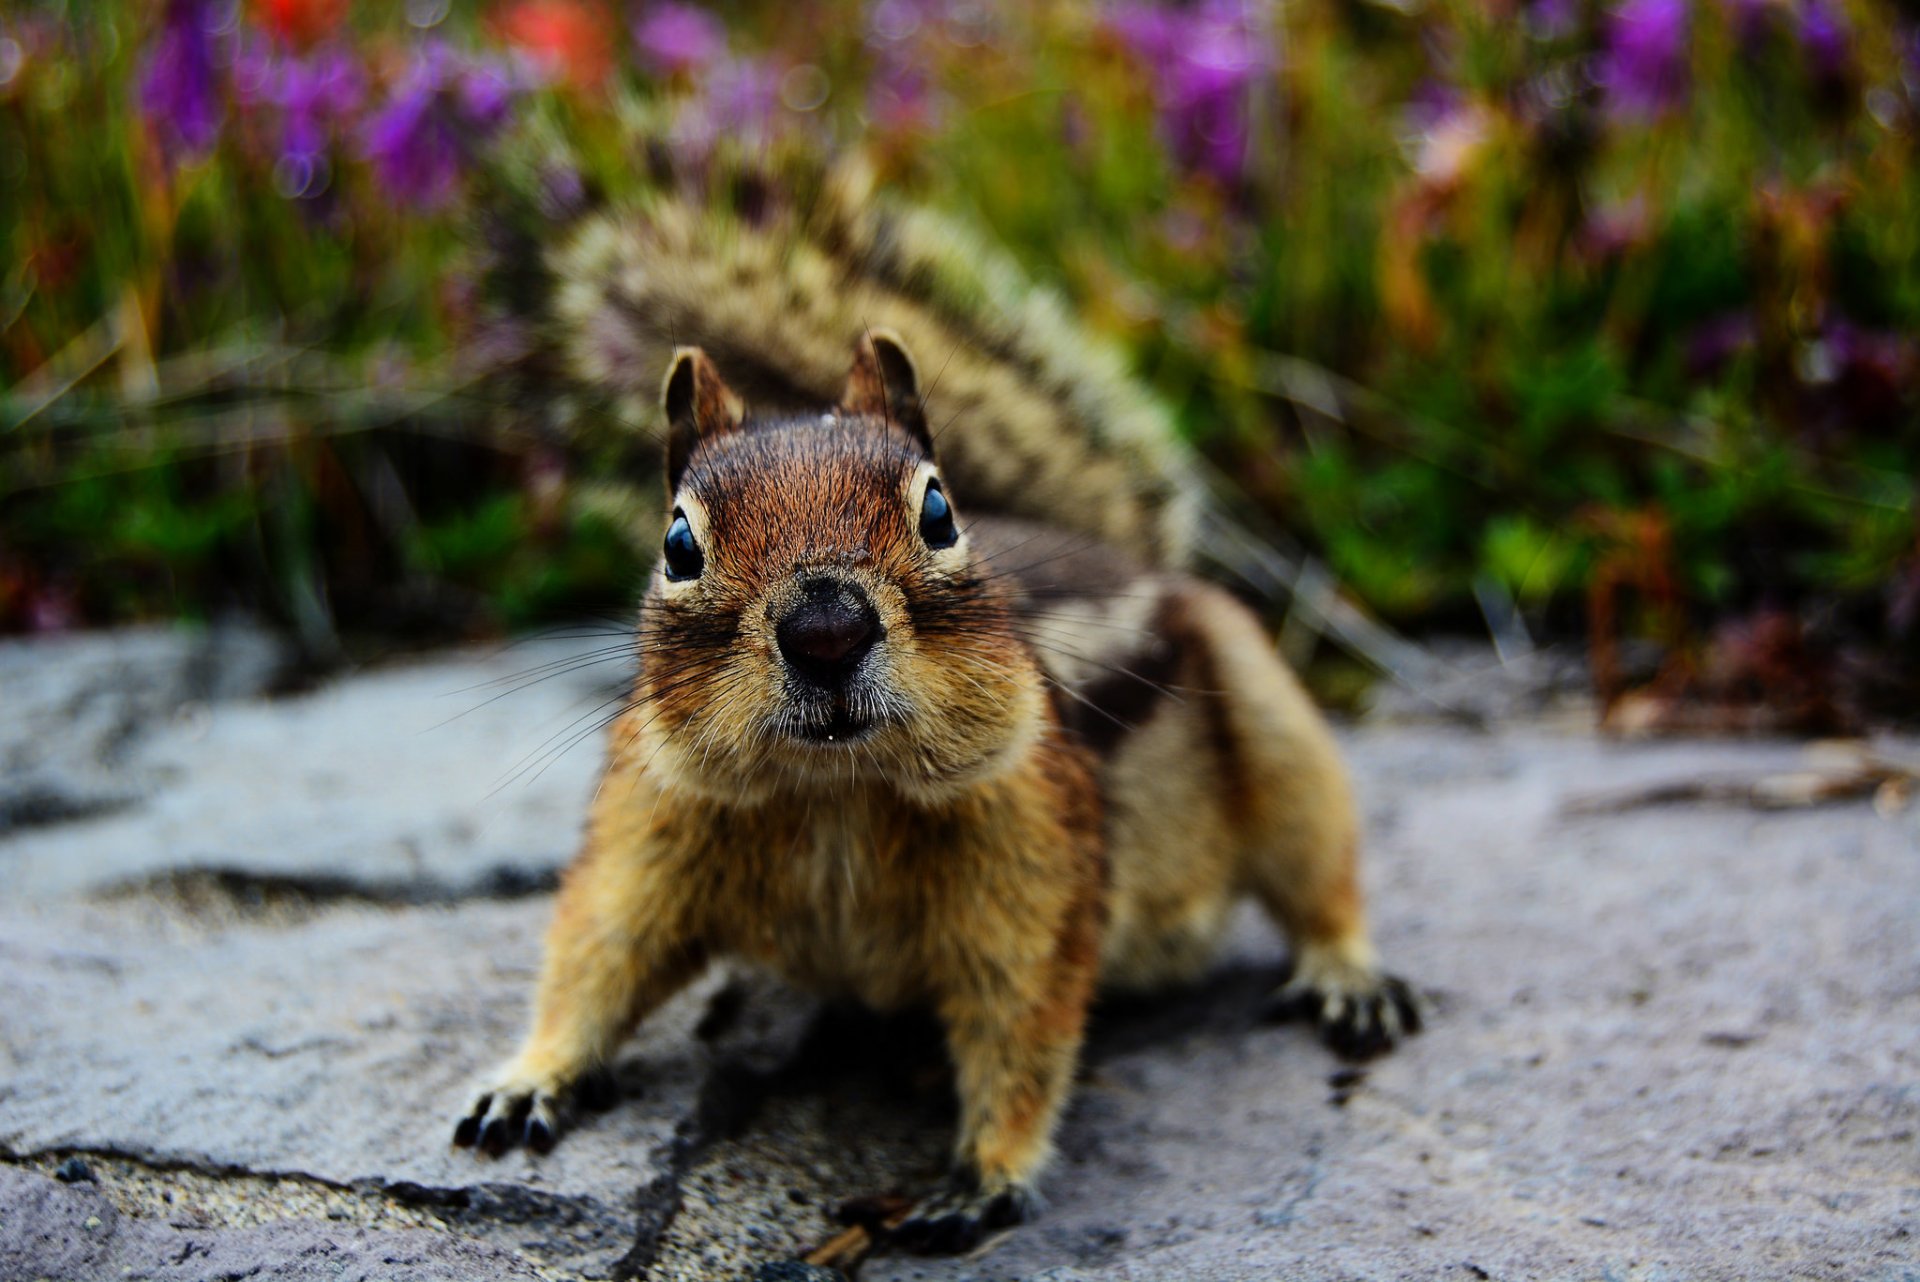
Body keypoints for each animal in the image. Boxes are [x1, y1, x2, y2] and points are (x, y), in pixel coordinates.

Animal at [452, 154, 1420, 1253]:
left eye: (940, 510)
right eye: (679, 543)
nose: (826, 630)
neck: (834, 793)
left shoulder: (1032, 870)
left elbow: (1023, 1027)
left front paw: (985, 1175)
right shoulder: (645, 830)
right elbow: (596, 955)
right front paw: (529, 1076)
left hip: (1275, 728)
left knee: (1318, 872)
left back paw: (1349, 976)